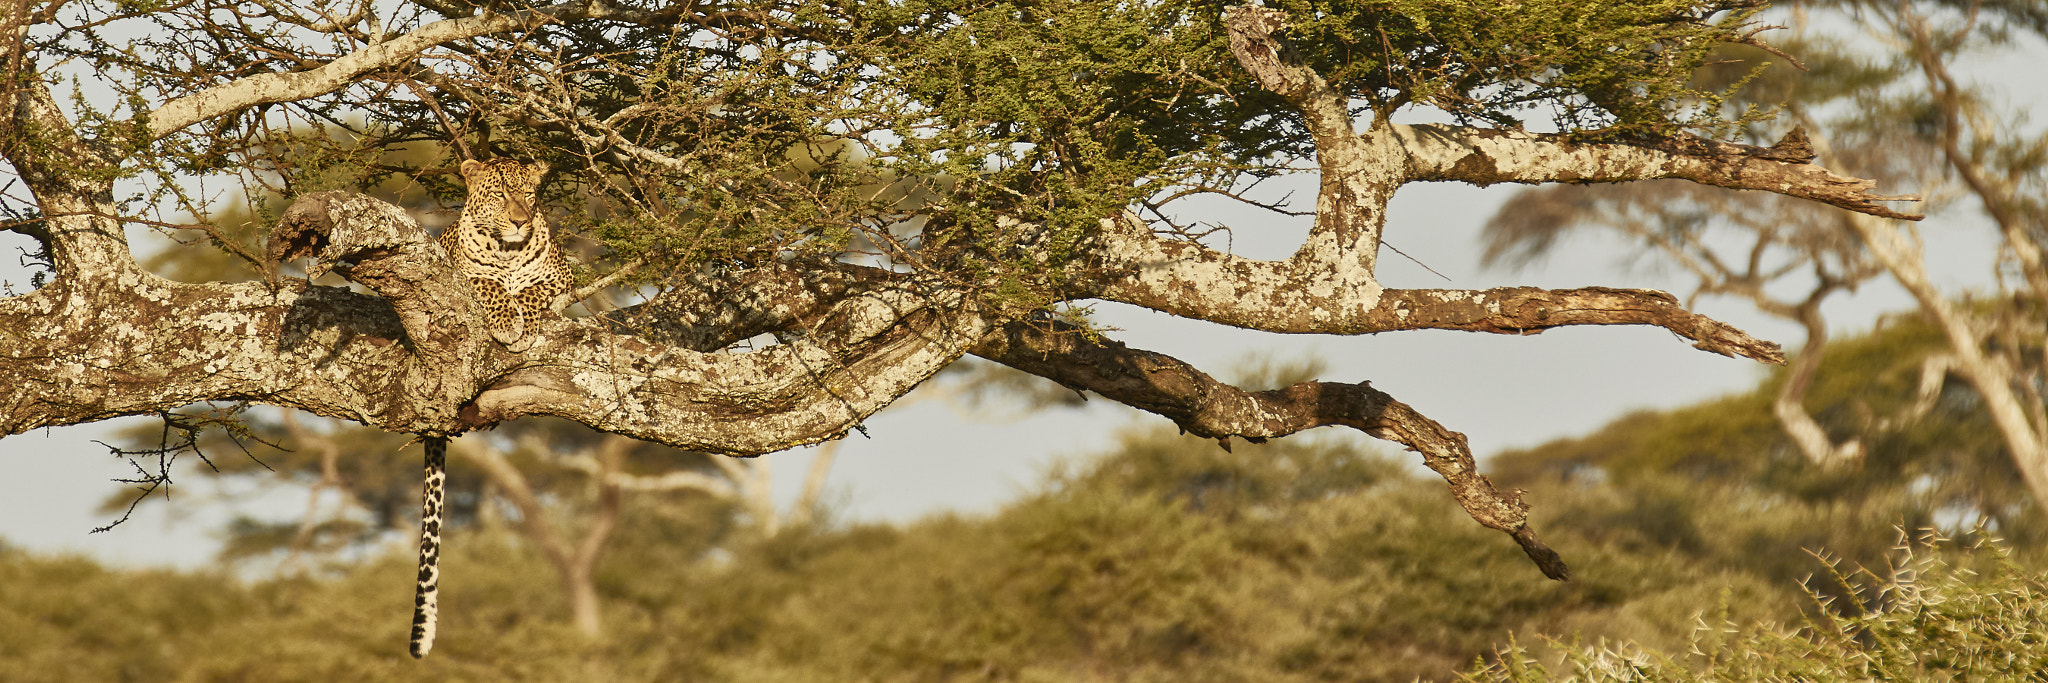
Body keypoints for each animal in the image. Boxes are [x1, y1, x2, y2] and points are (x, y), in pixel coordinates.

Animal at [410, 158, 571, 659]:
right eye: (500, 195)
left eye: (529, 195)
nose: (520, 220)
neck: (508, 251)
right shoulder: (464, 276)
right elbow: (486, 283)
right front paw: (505, 321)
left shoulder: (564, 275)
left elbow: (533, 291)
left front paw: (524, 318)